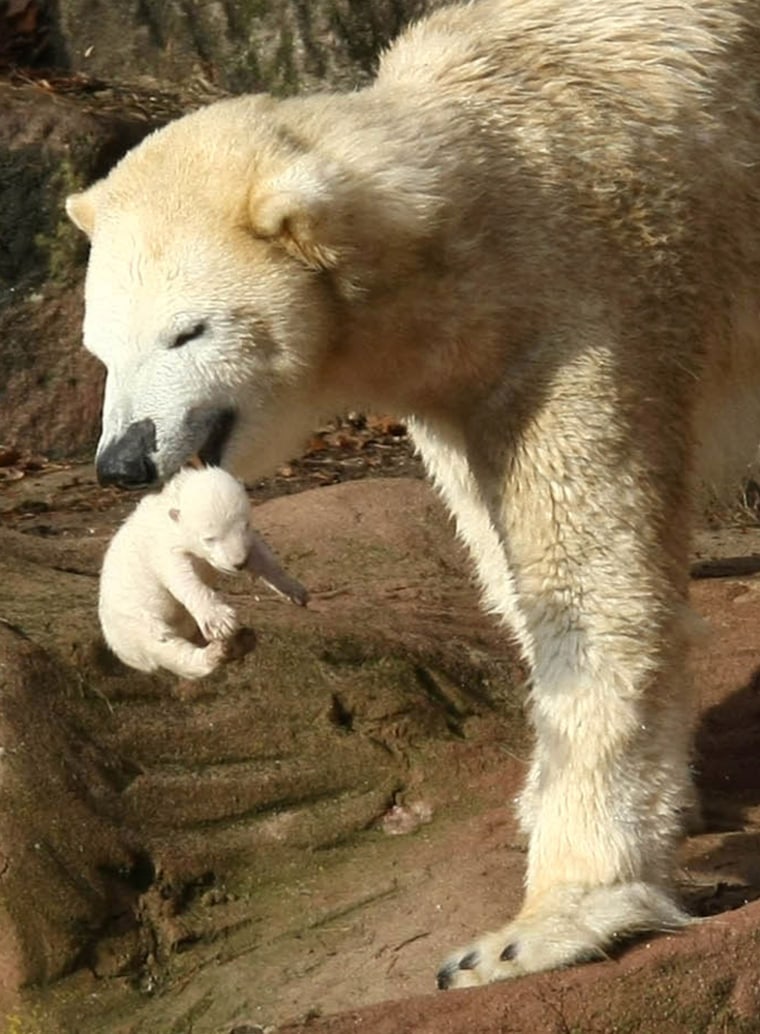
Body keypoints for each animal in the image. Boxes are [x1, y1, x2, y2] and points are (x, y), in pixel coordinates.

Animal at [99, 467, 308, 678]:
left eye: (246, 524)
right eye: (209, 538)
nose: (239, 563)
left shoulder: (245, 540)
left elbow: (260, 554)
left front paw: (294, 590)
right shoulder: (163, 545)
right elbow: (180, 576)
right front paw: (219, 620)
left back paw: (240, 642)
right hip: (133, 623)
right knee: (163, 644)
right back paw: (218, 652)